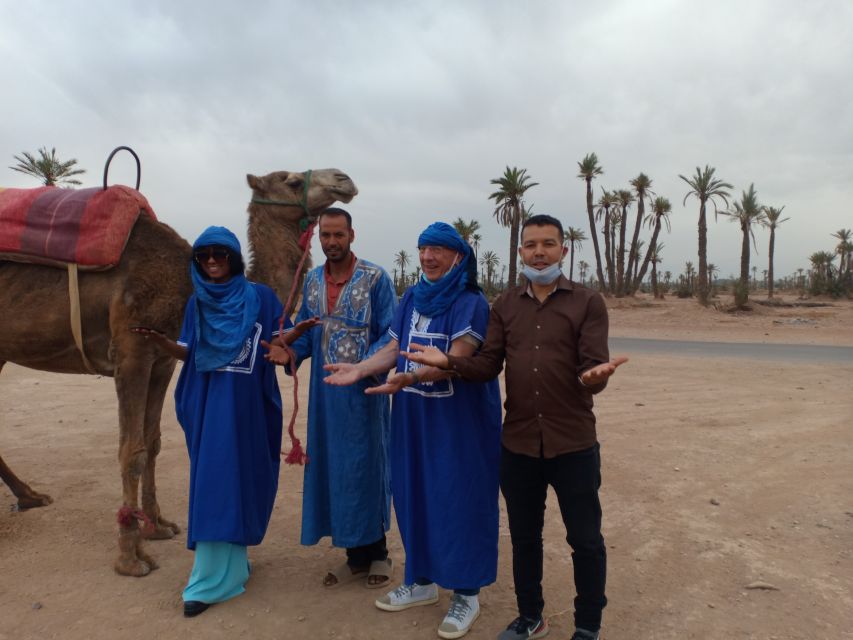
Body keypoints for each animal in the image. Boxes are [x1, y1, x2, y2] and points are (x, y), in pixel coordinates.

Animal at [0, 168, 356, 576]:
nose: (343, 179)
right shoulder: (132, 351)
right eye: (292, 180)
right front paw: (130, 557)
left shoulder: (163, 359)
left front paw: (157, 526)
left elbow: (152, 442)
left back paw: (31, 496)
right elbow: (132, 451)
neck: (191, 285)